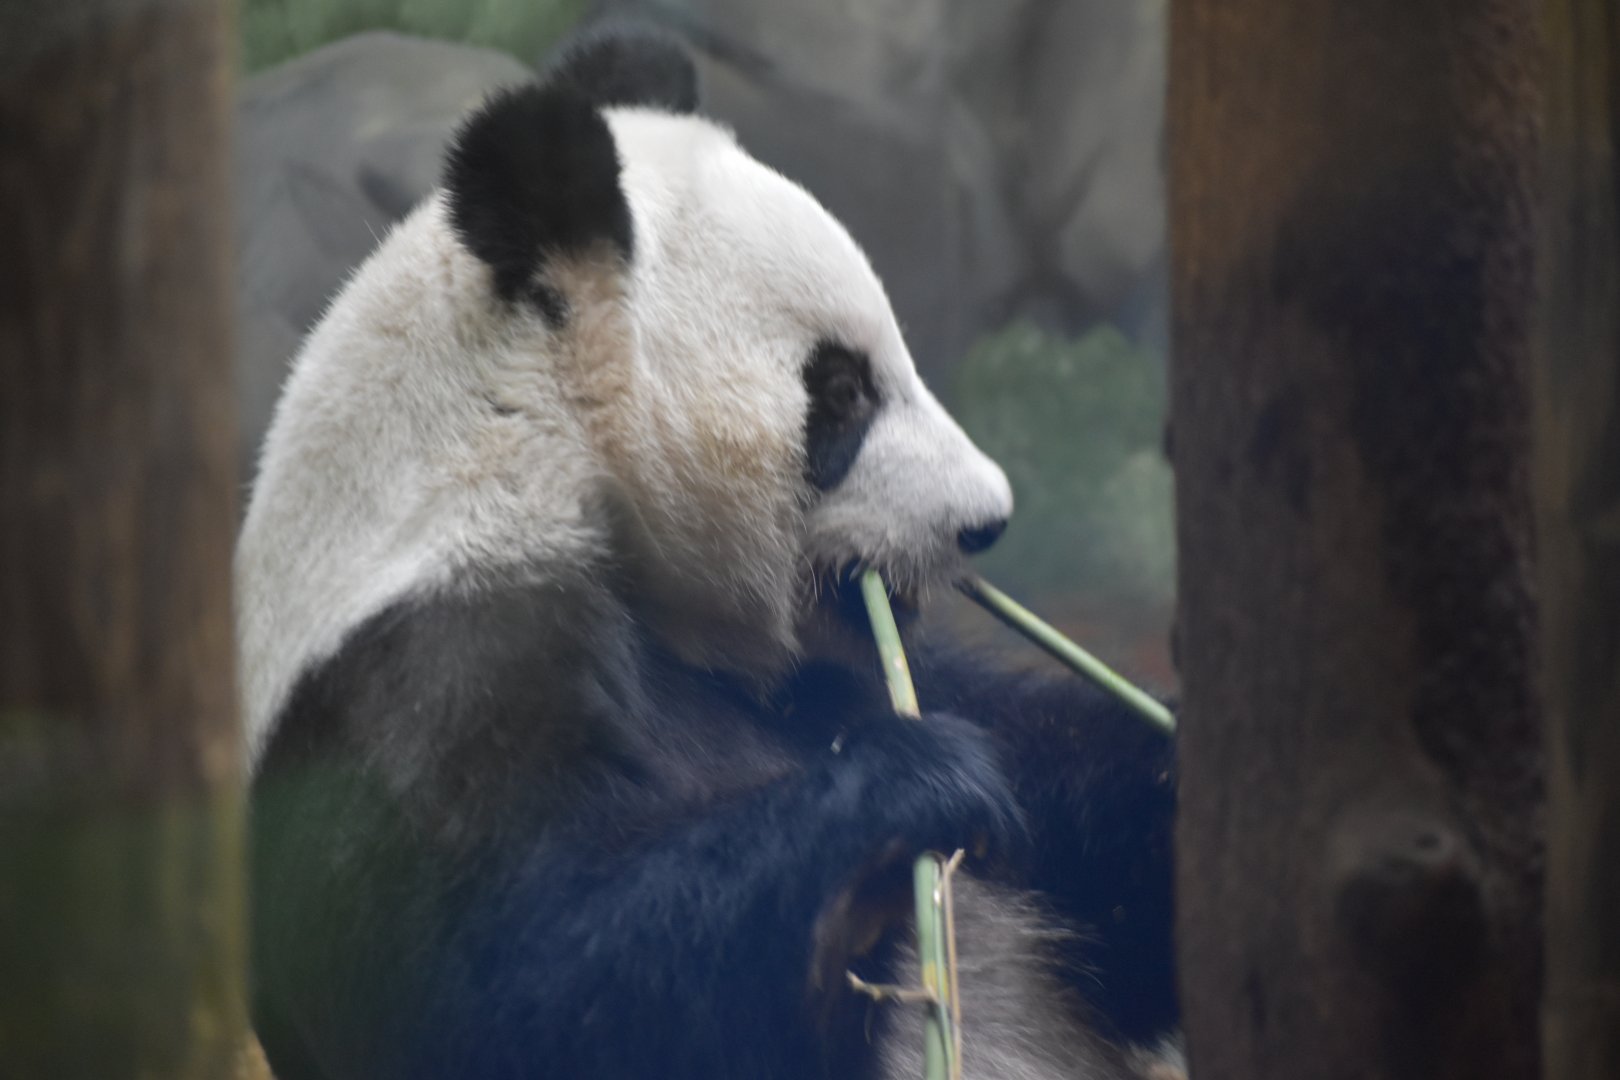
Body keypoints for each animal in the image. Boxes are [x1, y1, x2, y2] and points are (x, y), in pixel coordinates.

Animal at [237, 25, 1178, 1080]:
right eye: (842, 391)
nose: (985, 519)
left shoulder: (825, 676)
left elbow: (1092, 832)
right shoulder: (424, 674)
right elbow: (514, 996)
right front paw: (911, 791)